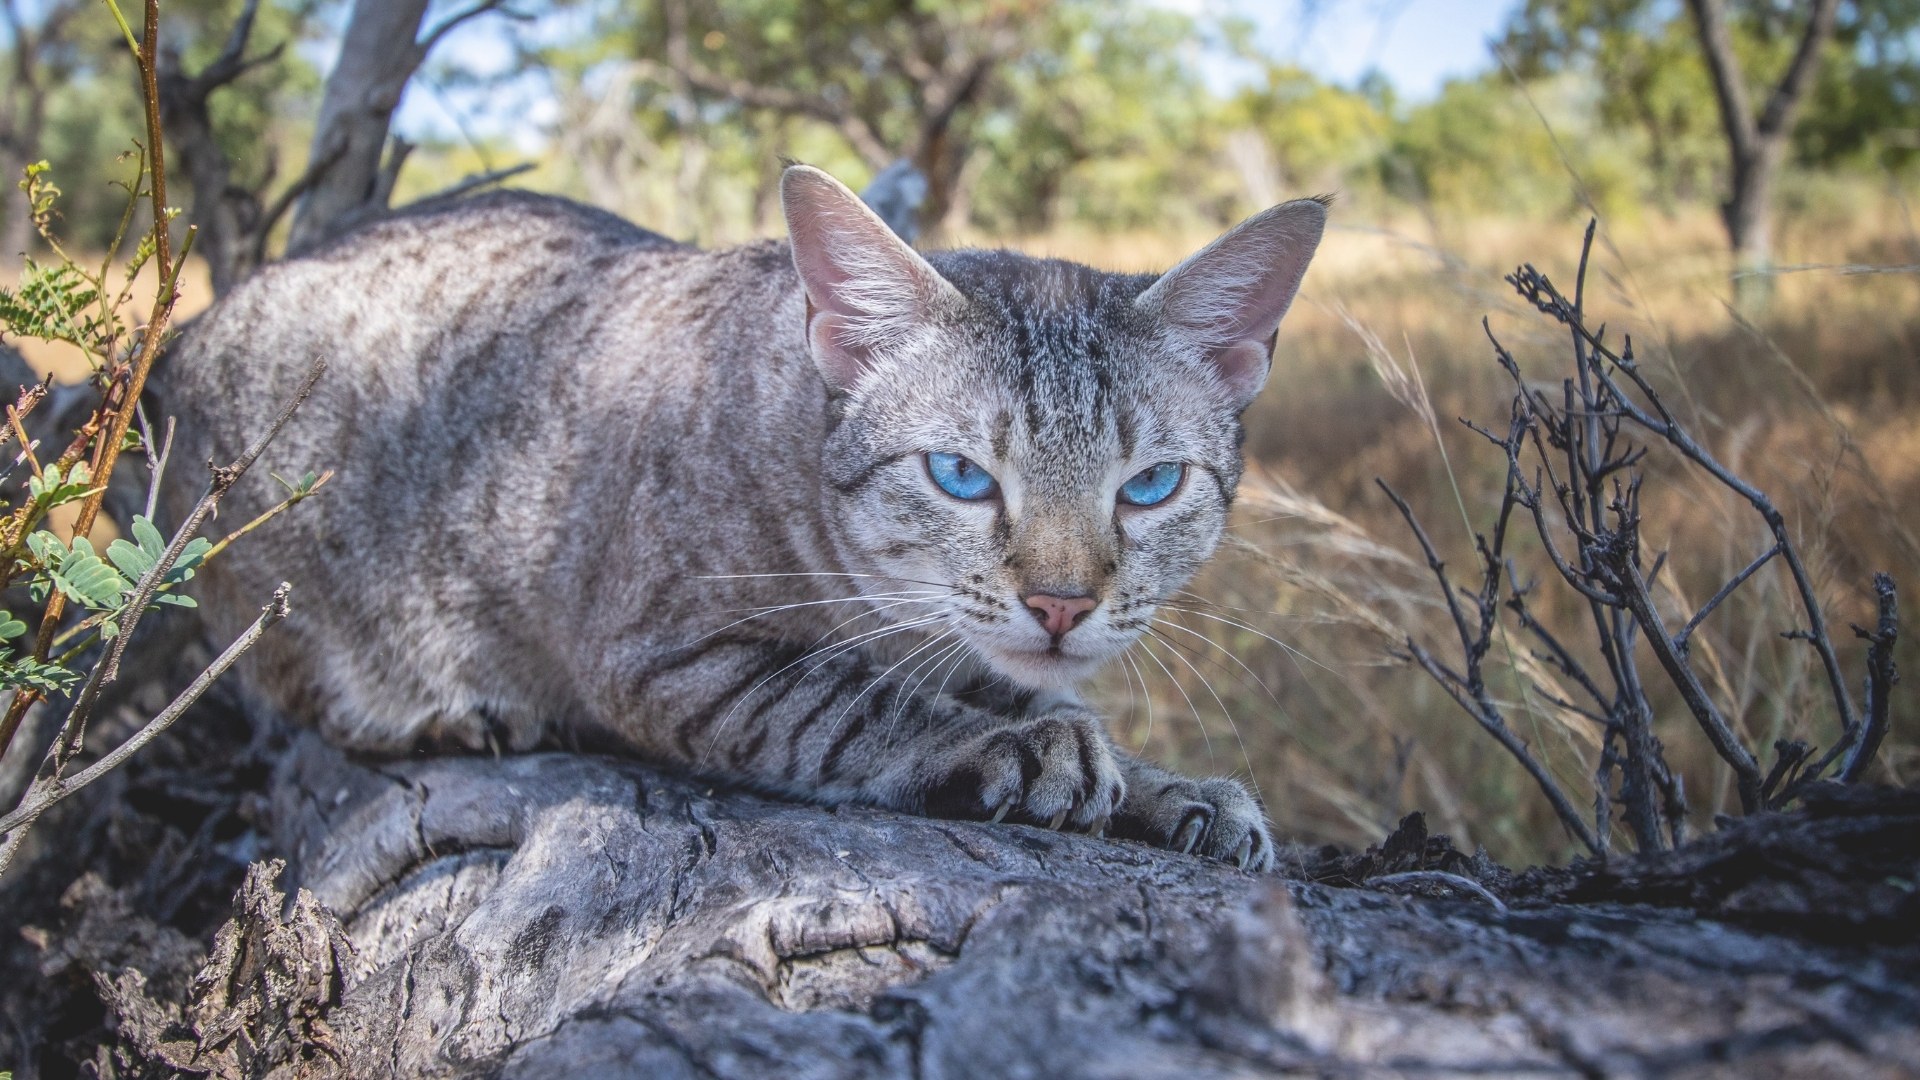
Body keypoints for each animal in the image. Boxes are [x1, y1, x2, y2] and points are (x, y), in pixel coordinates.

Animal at [165, 166, 1328, 864]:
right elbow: (860, 704)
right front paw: (1026, 746)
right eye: (960, 476)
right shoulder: (665, 658)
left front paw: (1160, 785)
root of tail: (189, 334)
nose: (1061, 603)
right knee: (297, 699)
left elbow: (1032, 696)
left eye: (1149, 487)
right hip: (288, 579)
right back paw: (449, 713)